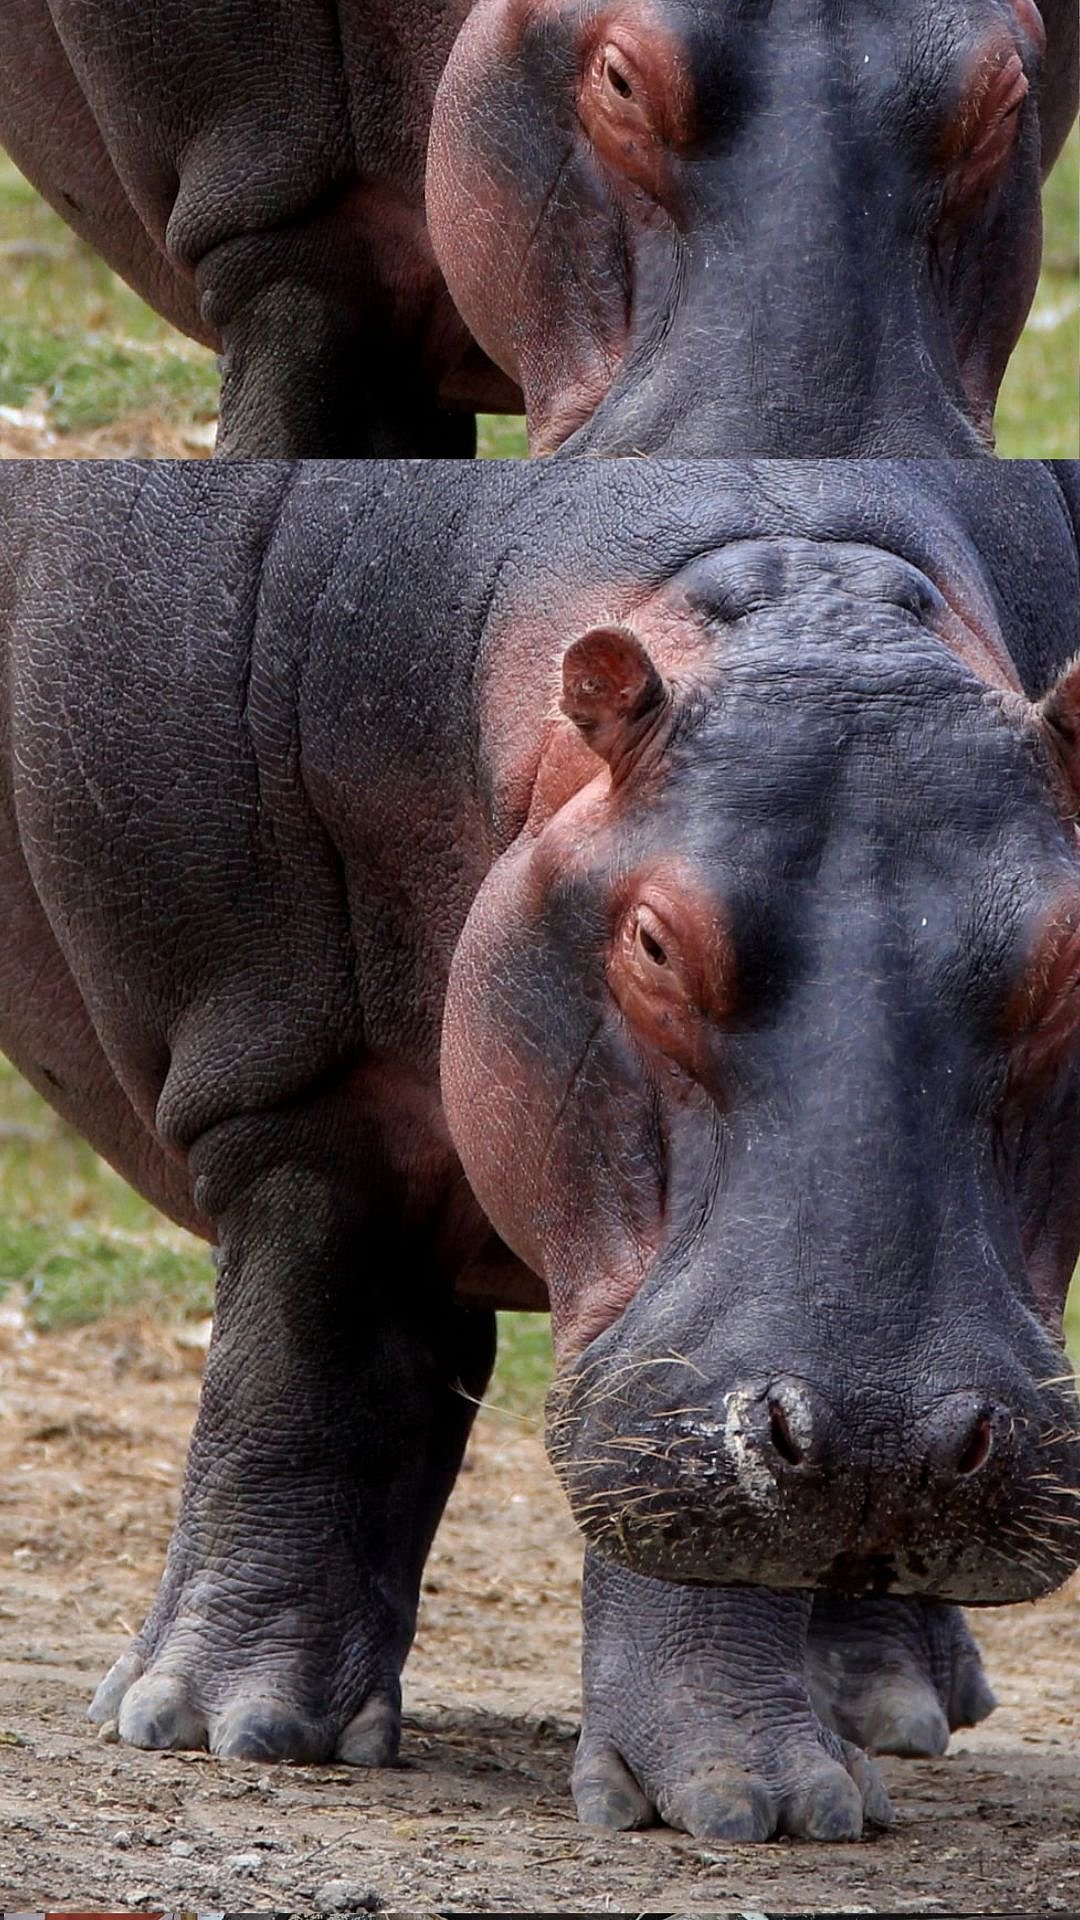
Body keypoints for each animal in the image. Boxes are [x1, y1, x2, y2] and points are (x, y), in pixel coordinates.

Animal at [1, 457, 1079, 1843]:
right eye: (655, 942)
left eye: (1070, 955)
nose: (891, 1439)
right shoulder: (297, 1076)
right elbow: (297, 1357)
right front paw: (221, 1728)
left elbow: (688, 1501)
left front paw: (748, 1803)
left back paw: (887, 1709)